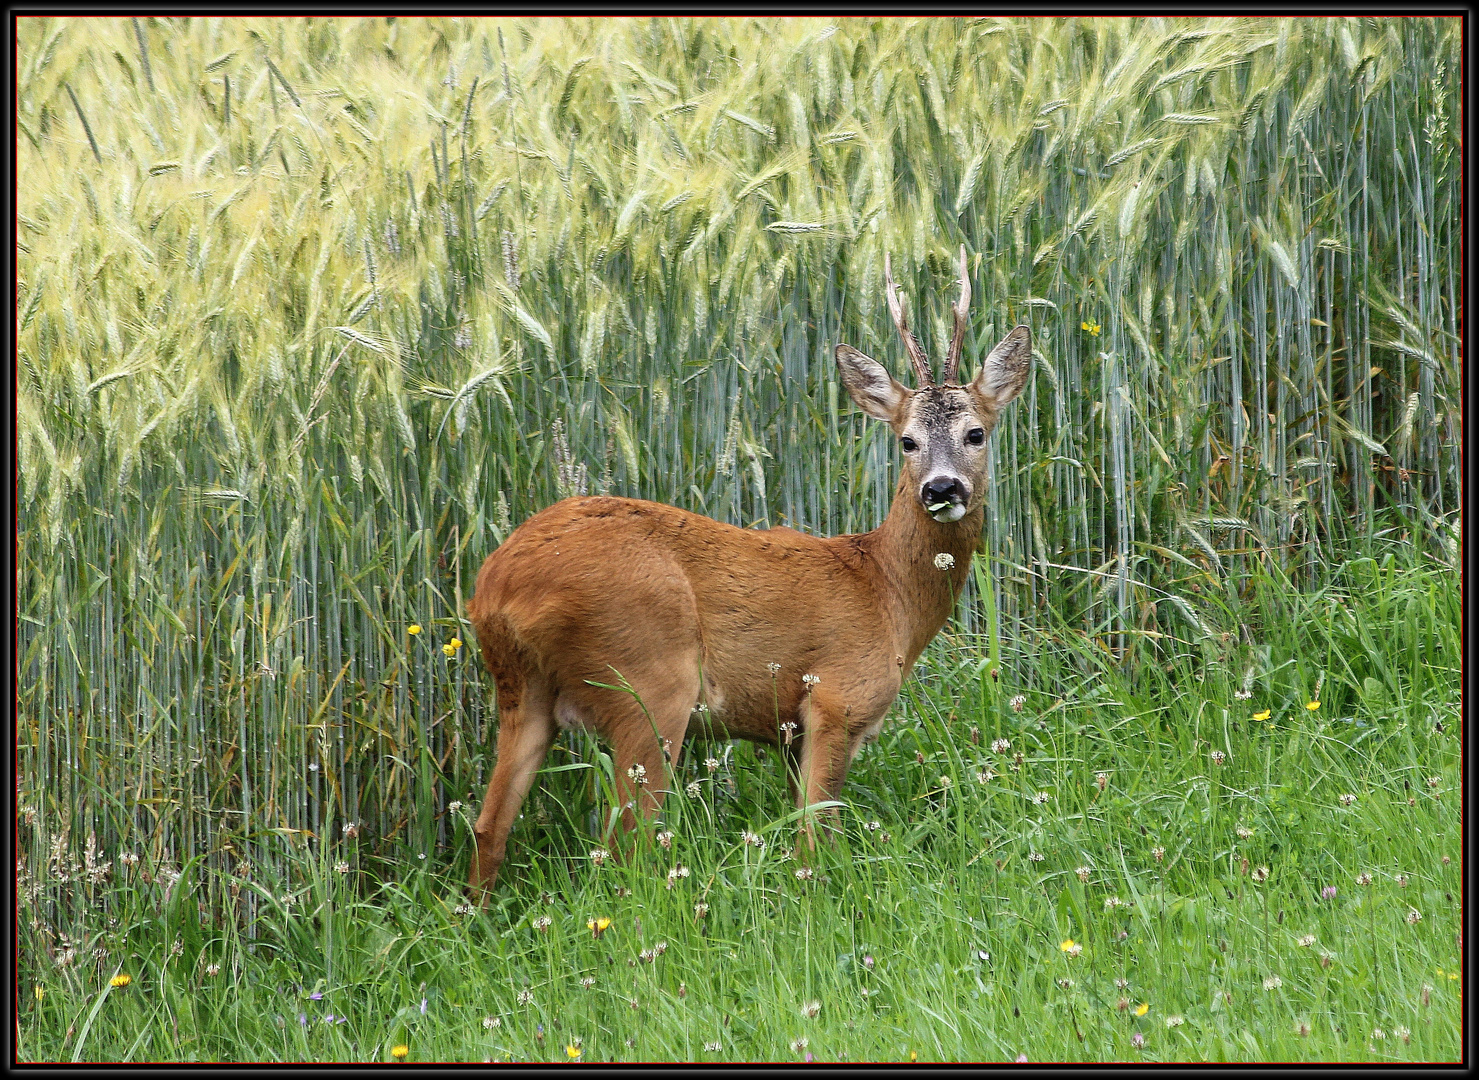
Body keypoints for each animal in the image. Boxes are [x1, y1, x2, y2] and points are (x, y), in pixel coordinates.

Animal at [467, 245, 1035, 893]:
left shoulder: (788, 730)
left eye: (976, 432)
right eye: (908, 440)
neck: (885, 589)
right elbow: (814, 838)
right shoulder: (837, 700)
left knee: (489, 829)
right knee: (625, 844)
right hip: (648, 683)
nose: (942, 489)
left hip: (523, 690)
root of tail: (496, 587)